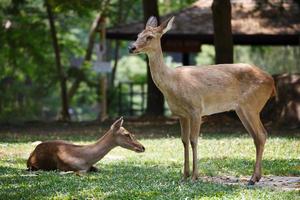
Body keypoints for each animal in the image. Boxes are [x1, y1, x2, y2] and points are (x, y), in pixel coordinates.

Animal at [127, 16, 276, 185]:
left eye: (149, 37)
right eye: (138, 35)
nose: (131, 48)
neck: (173, 83)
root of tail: (271, 81)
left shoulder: (196, 109)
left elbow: (193, 140)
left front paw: (194, 176)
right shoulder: (181, 114)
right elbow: (184, 140)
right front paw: (184, 176)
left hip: (252, 105)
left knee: (261, 134)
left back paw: (251, 179)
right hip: (242, 109)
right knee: (258, 136)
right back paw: (256, 177)